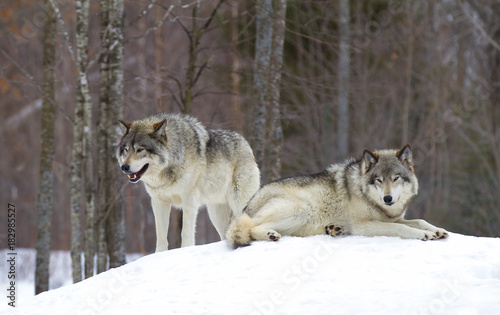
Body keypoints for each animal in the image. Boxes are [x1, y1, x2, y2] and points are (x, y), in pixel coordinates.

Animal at [115, 113, 260, 252]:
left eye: (140, 149)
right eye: (126, 149)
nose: (124, 167)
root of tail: (245, 142)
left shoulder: (189, 200)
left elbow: (185, 232)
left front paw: (185, 250)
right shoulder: (159, 202)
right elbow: (161, 236)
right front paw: (159, 255)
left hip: (238, 202)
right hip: (215, 213)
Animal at [227, 146, 450, 249]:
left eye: (396, 178)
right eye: (379, 180)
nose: (388, 198)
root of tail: (247, 205)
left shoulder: (395, 217)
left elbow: (419, 220)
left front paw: (438, 230)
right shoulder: (365, 225)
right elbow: (402, 228)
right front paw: (424, 235)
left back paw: (333, 229)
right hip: (301, 210)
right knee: (252, 229)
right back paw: (270, 235)